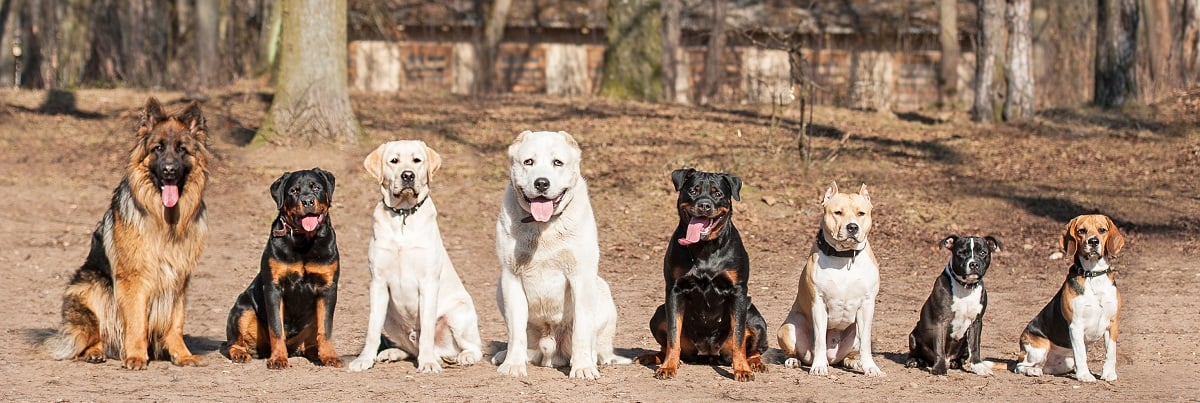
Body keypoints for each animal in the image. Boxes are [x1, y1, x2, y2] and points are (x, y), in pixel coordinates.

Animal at [348, 140, 482, 374]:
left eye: (417, 160)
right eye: (394, 161)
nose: (408, 175)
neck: (403, 214)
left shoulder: (428, 283)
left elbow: (427, 330)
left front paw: (427, 363)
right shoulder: (378, 283)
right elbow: (372, 329)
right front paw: (364, 359)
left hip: (458, 313)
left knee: (474, 347)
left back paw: (460, 357)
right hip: (389, 316)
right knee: (411, 348)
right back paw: (392, 353)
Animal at [492, 131, 633, 379]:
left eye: (557, 162)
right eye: (528, 162)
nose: (541, 183)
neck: (542, 226)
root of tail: (548, 352)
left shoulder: (581, 277)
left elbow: (582, 330)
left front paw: (583, 367)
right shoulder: (510, 276)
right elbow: (516, 331)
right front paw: (512, 365)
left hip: (601, 289)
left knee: (598, 346)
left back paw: (594, 358)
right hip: (500, 289)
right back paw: (505, 355)